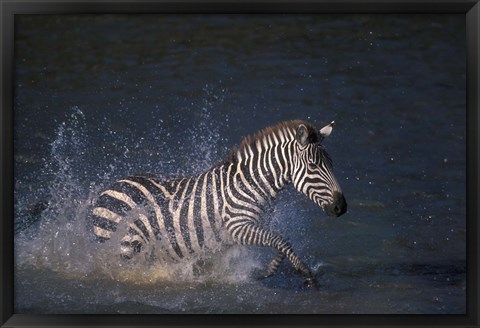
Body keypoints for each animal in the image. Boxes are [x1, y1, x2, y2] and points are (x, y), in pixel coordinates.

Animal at [89, 120, 344, 288]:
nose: (342, 207)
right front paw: (307, 275)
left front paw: (266, 271)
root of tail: (107, 189)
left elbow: (282, 242)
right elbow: (280, 240)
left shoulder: (246, 230)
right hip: (124, 247)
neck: (250, 184)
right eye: (313, 166)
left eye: (331, 163)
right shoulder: (238, 227)